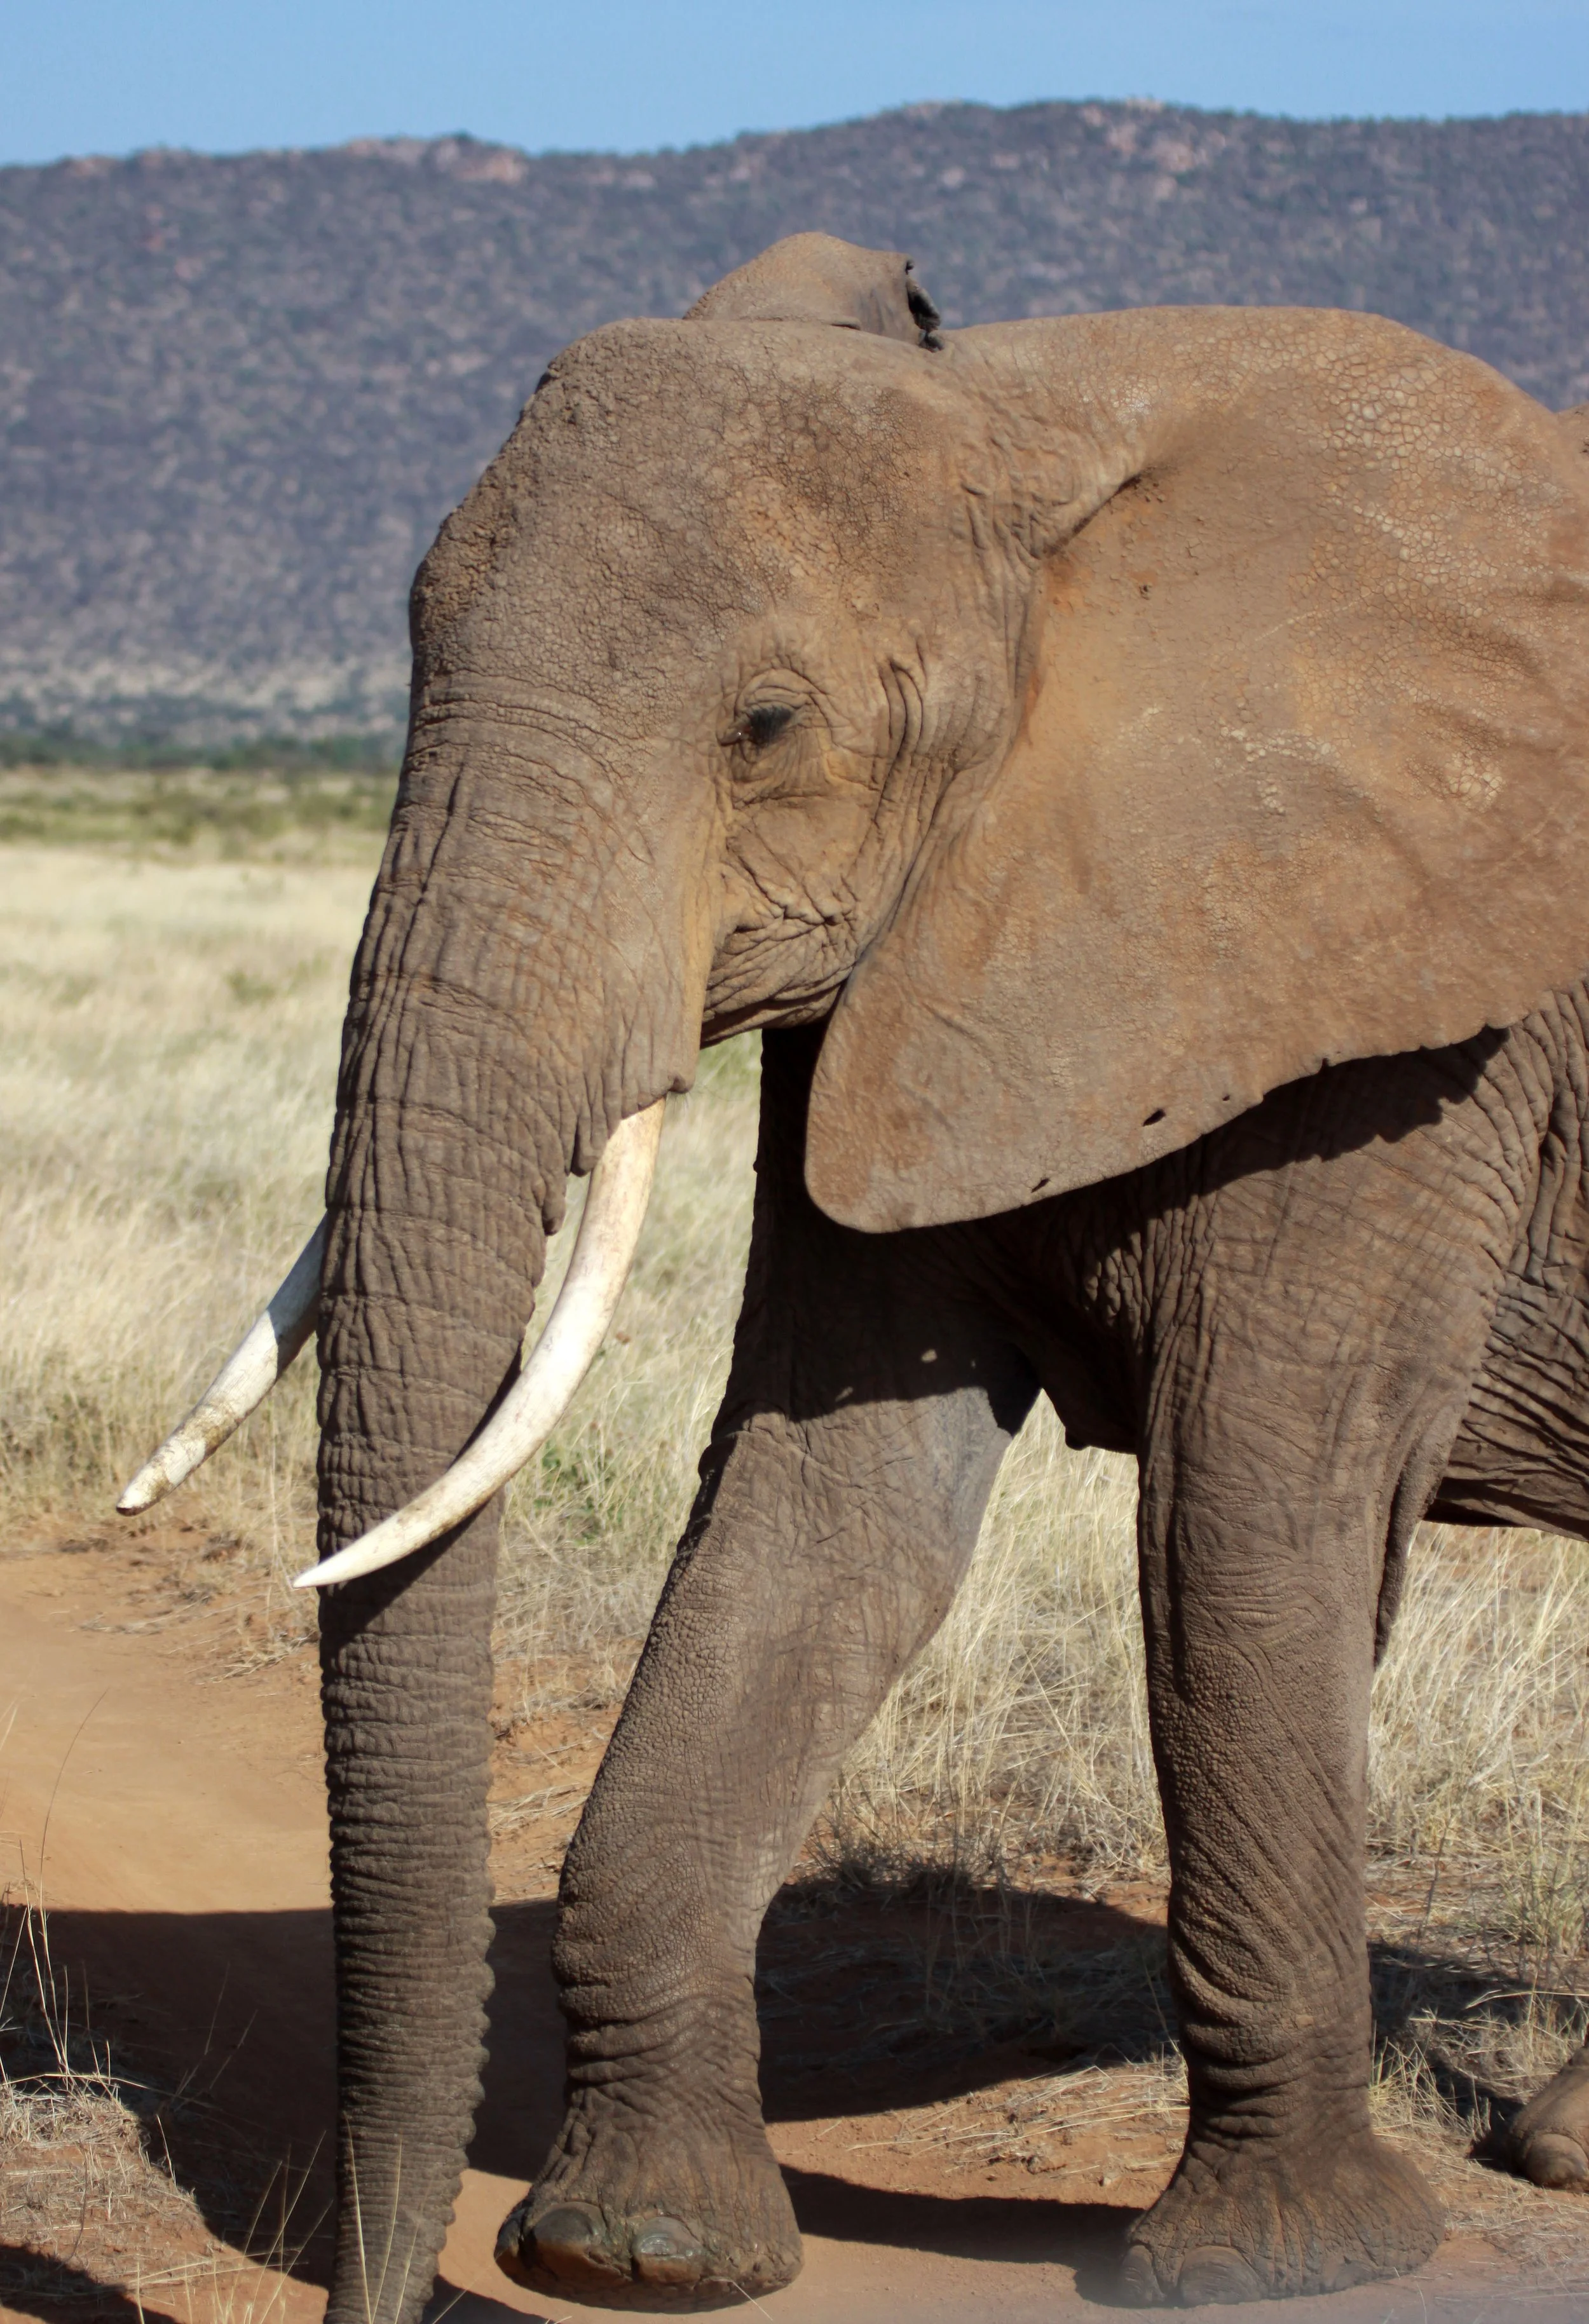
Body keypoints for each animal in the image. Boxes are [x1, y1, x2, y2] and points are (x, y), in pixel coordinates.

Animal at [120, 233, 1589, 2313]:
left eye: (764, 726)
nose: (373, 2290)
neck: (1027, 422)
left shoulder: (1406, 1032)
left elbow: (1245, 1525)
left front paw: (1278, 2261)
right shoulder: (919, 959)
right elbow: (823, 1512)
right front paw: (640, 2250)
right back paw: (1559, 2151)